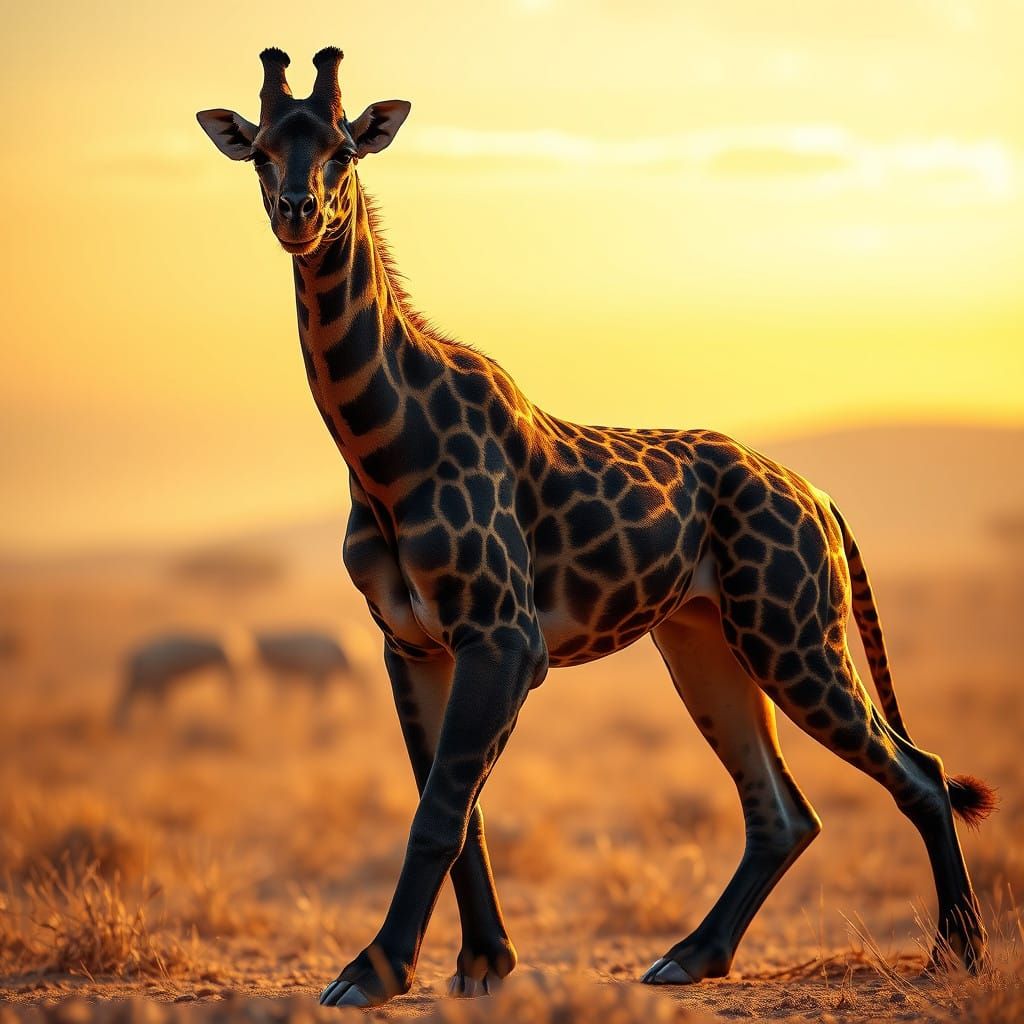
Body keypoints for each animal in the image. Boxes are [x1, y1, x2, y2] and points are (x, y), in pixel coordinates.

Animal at [197, 47, 996, 1008]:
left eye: (344, 151)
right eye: (261, 153)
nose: (298, 214)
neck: (383, 452)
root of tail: (818, 497)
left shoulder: (504, 637)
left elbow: (440, 813)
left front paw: (373, 970)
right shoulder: (412, 643)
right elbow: (458, 811)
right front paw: (482, 963)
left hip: (793, 635)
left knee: (921, 772)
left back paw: (959, 956)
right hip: (704, 639)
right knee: (785, 811)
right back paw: (691, 956)